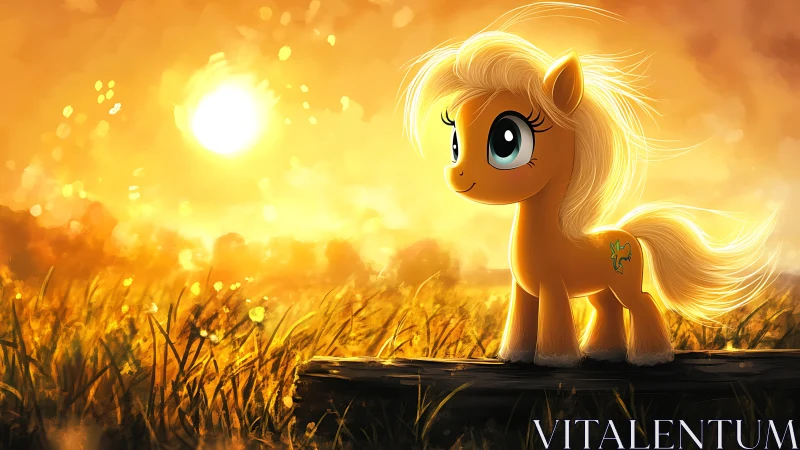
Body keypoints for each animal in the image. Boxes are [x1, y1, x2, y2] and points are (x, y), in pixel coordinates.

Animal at [402, 3, 779, 367]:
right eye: (455, 142)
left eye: (506, 141)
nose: (458, 175)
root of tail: (628, 233)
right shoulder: (523, 290)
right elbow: (520, 323)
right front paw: (515, 357)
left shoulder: (553, 287)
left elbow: (554, 321)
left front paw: (554, 361)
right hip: (602, 288)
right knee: (608, 308)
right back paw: (603, 352)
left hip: (624, 282)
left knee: (642, 302)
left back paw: (651, 357)